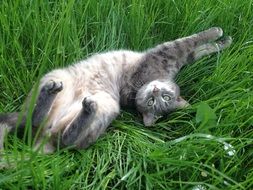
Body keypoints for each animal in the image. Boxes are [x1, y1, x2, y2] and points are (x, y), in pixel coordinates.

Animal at [0, 27, 231, 154]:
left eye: (161, 101)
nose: (155, 92)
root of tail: (42, 140)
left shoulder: (164, 54)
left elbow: (191, 45)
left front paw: (218, 37)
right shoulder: (170, 56)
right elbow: (195, 47)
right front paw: (222, 39)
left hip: (107, 106)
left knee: (62, 138)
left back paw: (86, 109)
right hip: (58, 76)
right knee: (35, 119)